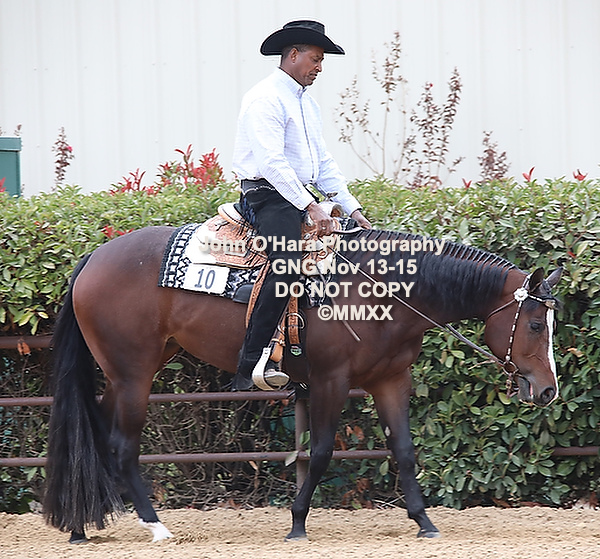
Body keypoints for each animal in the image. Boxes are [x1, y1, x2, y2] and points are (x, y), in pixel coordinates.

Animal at [42, 223, 562, 544]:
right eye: (536, 325)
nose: (547, 390)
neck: (378, 291)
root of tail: (93, 257)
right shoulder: (331, 380)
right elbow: (323, 451)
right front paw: (296, 522)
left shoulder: (391, 379)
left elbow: (405, 451)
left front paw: (424, 521)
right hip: (135, 374)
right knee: (121, 446)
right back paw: (156, 528)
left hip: (124, 373)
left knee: (95, 435)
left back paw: (81, 525)